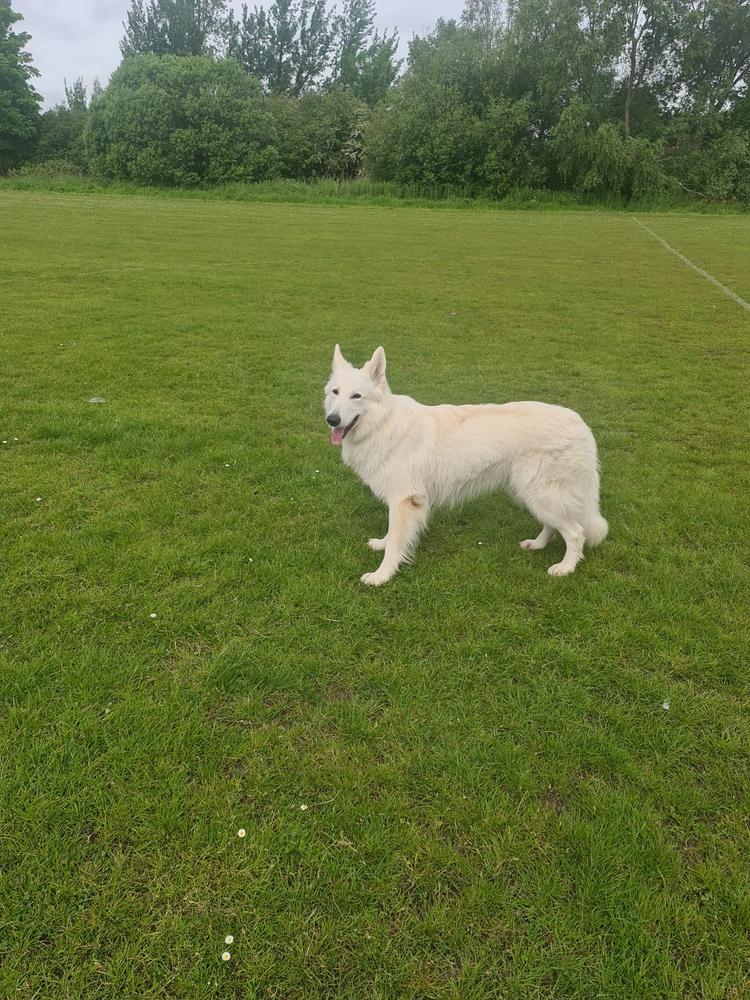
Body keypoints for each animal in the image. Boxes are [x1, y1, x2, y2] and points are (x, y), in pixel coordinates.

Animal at [326, 346, 608, 584]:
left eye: (357, 396)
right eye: (335, 392)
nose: (332, 420)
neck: (383, 423)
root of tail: (581, 424)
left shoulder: (404, 500)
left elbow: (397, 542)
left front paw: (381, 575)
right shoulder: (400, 501)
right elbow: (393, 534)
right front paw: (382, 544)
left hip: (540, 495)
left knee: (576, 532)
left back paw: (565, 568)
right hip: (530, 494)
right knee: (553, 525)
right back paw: (537, 545)